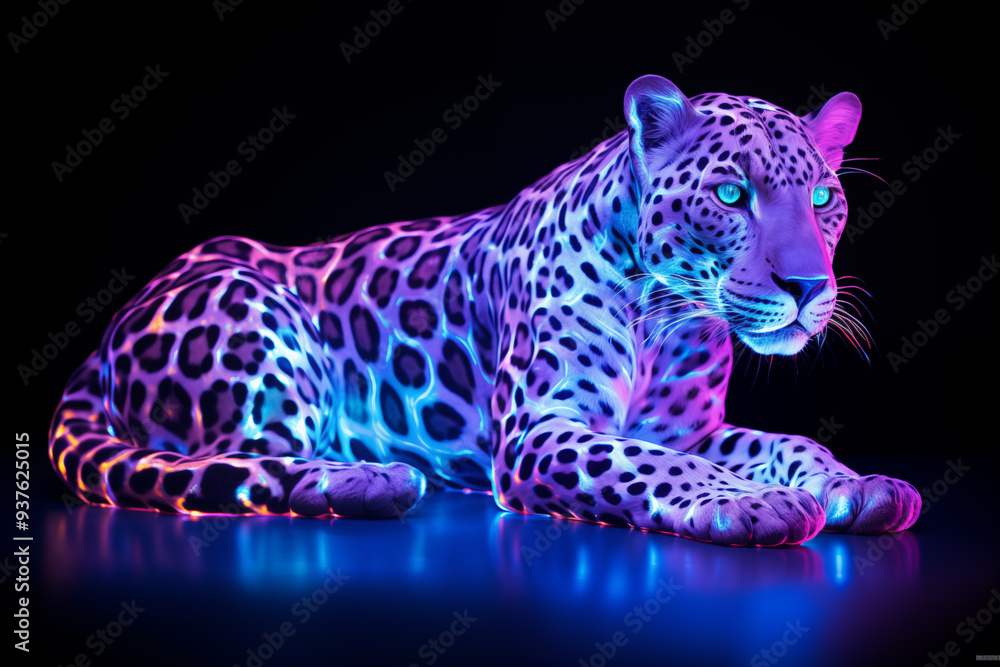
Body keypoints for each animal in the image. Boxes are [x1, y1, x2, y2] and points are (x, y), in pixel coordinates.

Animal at [48, 75, 921, 546]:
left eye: (823, 200)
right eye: (732, 193)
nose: (808, 287)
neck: (667, 319)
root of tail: (108, 330)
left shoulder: (694, 427)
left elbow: (786, 442)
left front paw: (861, 483)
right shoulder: (538, 428)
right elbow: (653, 463)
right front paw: (747, 501)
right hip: (254, 315)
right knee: (236, 468)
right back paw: (368, 479)